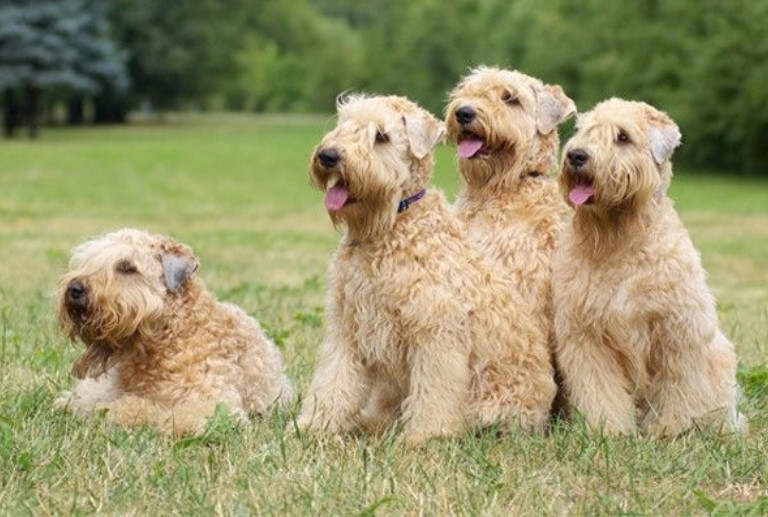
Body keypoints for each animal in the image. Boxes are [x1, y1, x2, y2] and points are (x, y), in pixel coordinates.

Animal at [294, 93, 552, 444]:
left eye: (381, 136)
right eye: (343, 125)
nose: (328, 156)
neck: (390, 228)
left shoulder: (435, 333)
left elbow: (434, 392)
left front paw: (425, 437)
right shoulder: (347, 327)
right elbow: (334, 382)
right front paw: (313, 426)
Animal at [556, 98, 748, 436]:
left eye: (622, 136)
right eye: (583, 130)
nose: (576, 155)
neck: (620, 242)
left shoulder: (677, 332)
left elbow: (680, 388)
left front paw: (672, 431)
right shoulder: (587, 336)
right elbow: (600, 390)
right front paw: (610, 431)